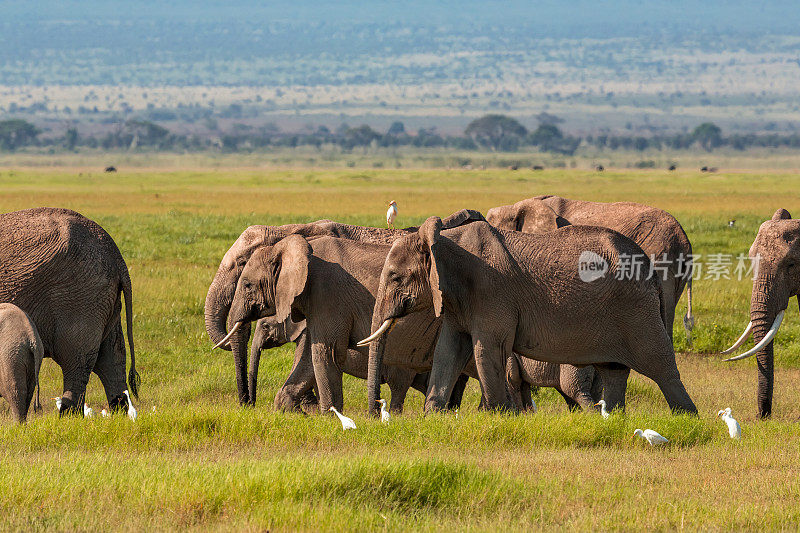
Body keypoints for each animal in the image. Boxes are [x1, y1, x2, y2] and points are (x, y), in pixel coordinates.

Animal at [0, 207, 139, 412]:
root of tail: (116, 255)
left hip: (80, 296)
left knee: (76, 362)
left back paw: (68, 414)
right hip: (104, 299)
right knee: (111, 359)